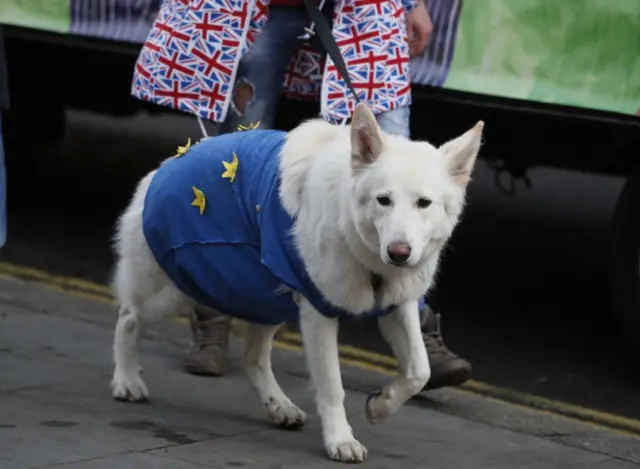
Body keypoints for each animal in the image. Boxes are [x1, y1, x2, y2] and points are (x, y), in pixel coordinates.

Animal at [110, 103, 480, 460]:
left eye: (424, 203)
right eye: (383, 200)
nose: (399, 253)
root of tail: (165, 165)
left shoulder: (398, 306)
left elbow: (420, 371)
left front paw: (380, 405)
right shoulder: (319, 312)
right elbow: (332, 387)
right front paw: (340, 440)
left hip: (267, 300)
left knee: (253, 359)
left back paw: (279, 406)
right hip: (174, 289)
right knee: (128, 319)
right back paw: (126, 380)